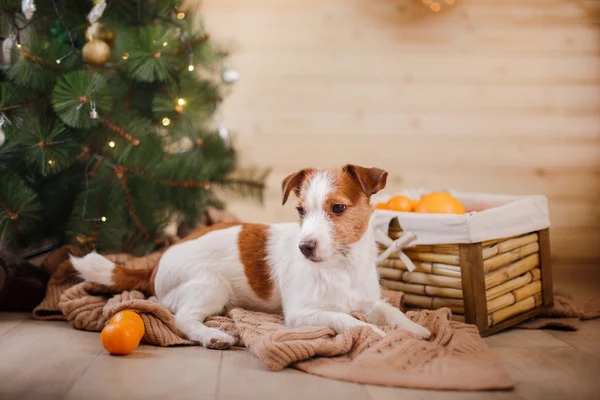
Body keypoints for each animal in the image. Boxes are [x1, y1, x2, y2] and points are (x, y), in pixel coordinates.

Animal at [70, 164, 428, 348]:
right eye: (300, 211)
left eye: (338, 208)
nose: (304, 247)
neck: (341, 266)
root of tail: (154, 264)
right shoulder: (302, 315)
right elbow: (347, 319)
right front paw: (375, 334)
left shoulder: (370, 301)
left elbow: (389, 311)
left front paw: (415, 328)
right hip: (210, 286)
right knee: (182, 320)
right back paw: (212, 335)